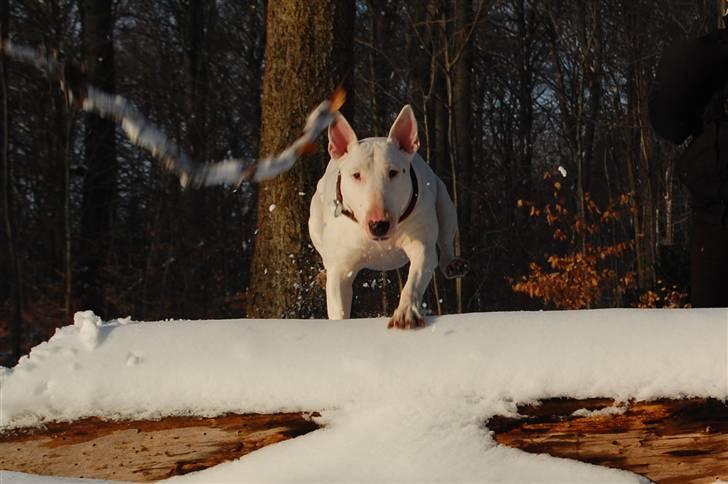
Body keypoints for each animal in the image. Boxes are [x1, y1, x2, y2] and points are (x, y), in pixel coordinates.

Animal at [308, 103, 466, 328]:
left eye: (393, 172)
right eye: (356, 175)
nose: (379, 225)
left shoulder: (421, 246)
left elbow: (414, 279)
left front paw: (405, 313)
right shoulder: (341, 269)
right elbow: (338, 302)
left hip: (444, 201)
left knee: (445, 240)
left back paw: (452, 264)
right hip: (314, 221)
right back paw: (322, 274)